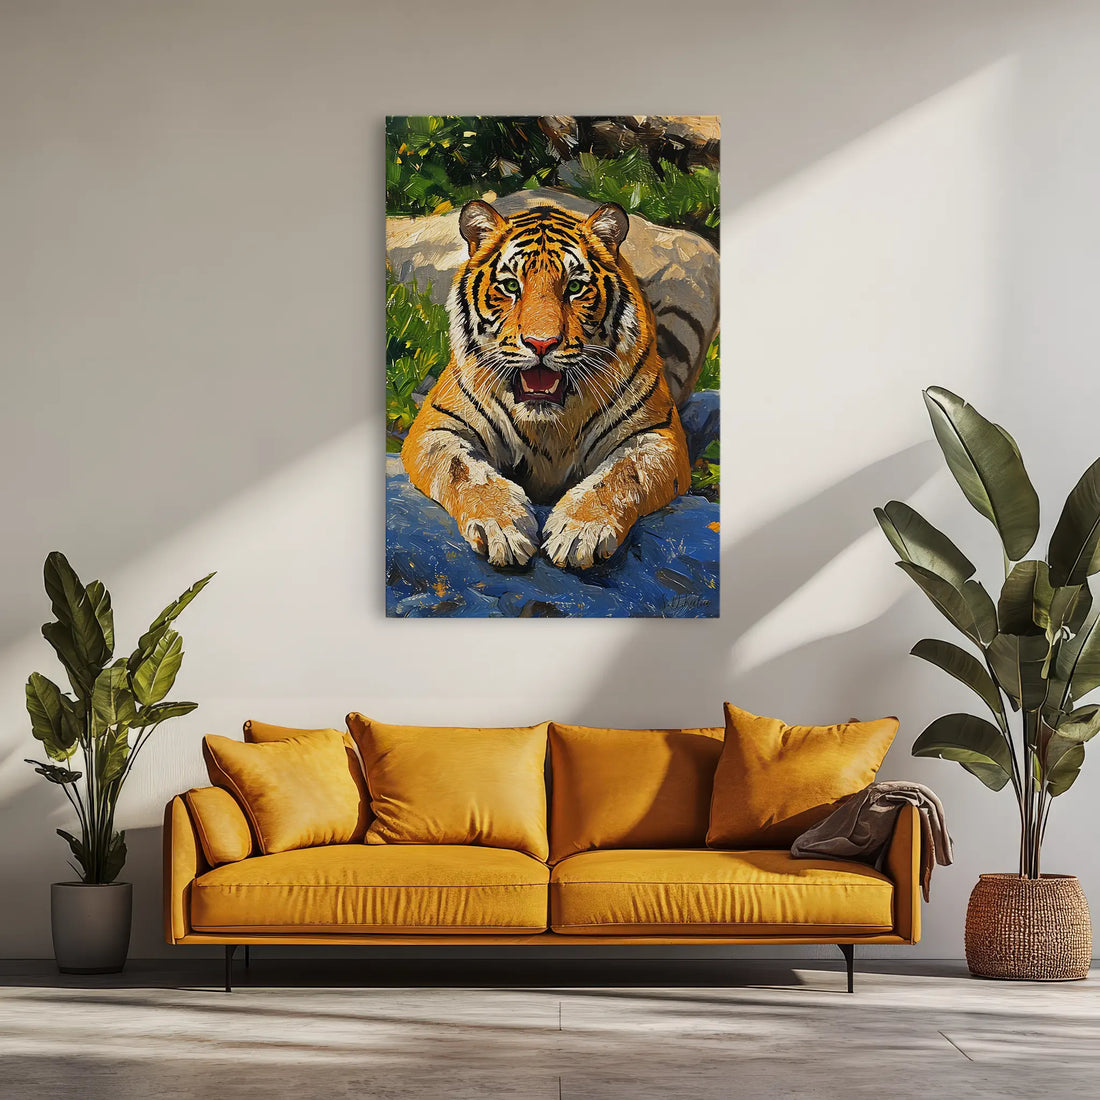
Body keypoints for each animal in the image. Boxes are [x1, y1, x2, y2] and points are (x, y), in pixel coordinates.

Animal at [401, 199, 692, 570]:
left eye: (574, 287)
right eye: (511, 286)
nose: (541, 344)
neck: (548, 426)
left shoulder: (656, 435)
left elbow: (621, 474)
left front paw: (580, 531)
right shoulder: (437, 427)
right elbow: (464, 471)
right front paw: (502, 527)